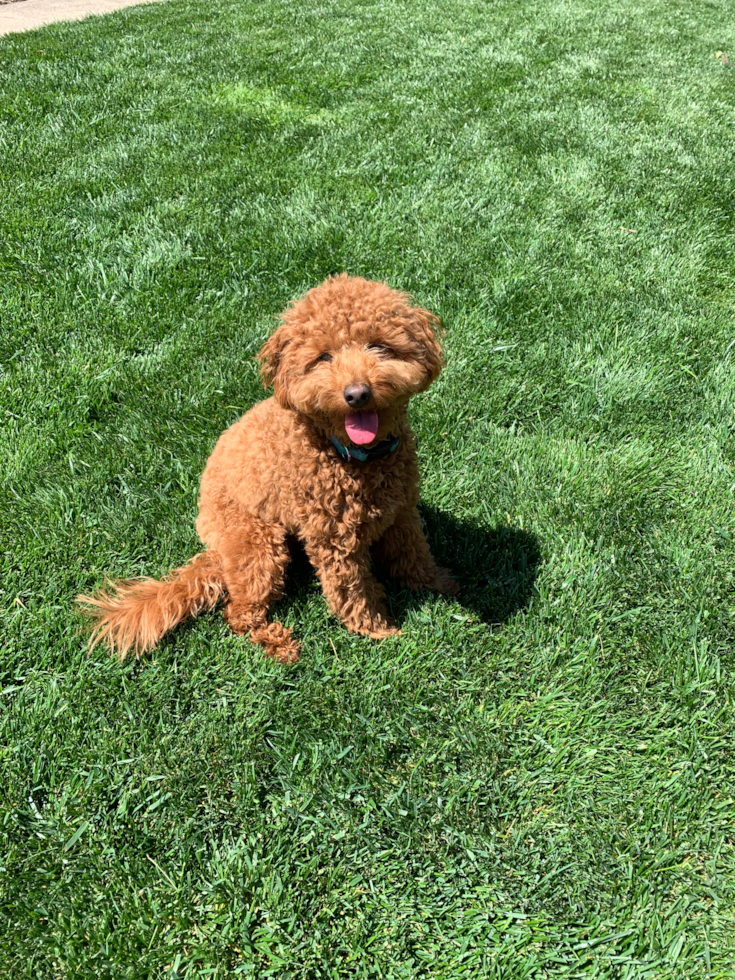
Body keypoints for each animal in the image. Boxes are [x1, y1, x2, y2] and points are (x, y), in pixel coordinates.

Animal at [77, 272, 458, 664]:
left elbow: (413, 553)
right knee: (239, 613)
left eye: (379, 347)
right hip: (260, 543)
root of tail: (215, 550)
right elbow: (352, 590)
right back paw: (277, 643)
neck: (354, 455)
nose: (357, 394)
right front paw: (377, 629)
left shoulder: (403, 511)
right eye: (323, 357)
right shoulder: (334, 540)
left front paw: (439, 583)